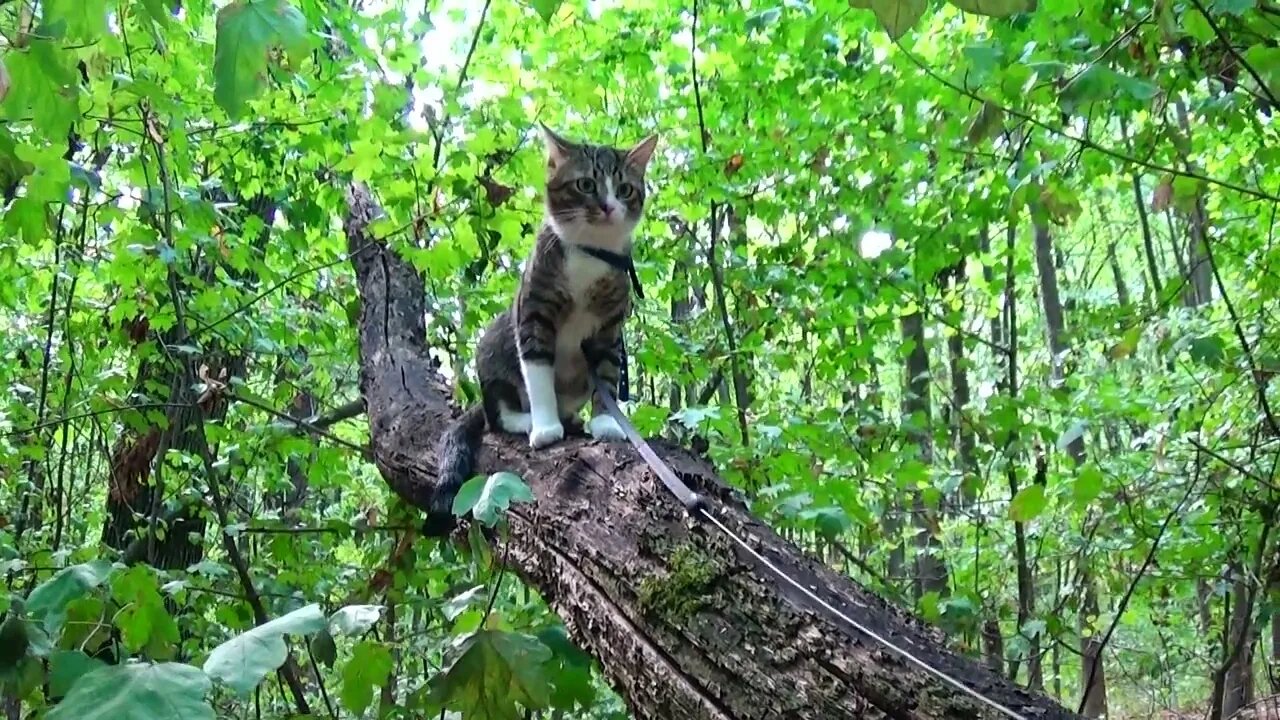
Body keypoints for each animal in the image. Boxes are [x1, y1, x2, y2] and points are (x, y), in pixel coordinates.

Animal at [435, 122, 665, 530]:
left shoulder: (610, 326)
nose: (608, 207)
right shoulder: (533, 311)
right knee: (496, 414)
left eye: (624, 189)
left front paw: (606, 421)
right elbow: (537, 368)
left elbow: (608, 371)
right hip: (493, 348)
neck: (589, 254)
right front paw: (544, 427)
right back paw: (527, 419)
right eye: (586, 184)